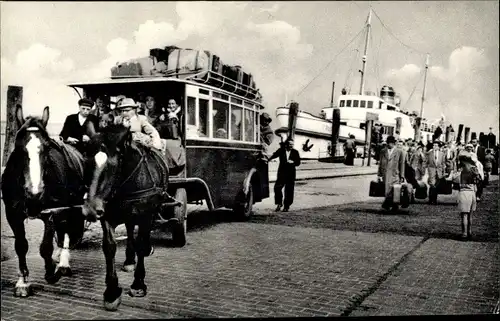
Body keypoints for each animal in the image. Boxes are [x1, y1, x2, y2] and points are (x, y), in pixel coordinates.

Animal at [1, 105, 87, 296]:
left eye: (47, 147)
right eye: (18, 147)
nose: (35, 193)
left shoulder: (51, 213)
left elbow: (45, 247)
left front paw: (51, 272)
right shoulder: (13, 214)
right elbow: (21, 245)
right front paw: (23, 282)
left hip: (69, 207)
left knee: (66, 232)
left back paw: (63, 263)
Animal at [83, 122, 174, 310]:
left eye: (112, 165)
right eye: (87, 162)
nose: (90, 209)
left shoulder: (146, 214)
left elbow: (141, 242)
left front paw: (138, 284)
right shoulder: (107, 216)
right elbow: (109, 247)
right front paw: (111, 292)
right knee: (131, 230)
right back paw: (130, 260)